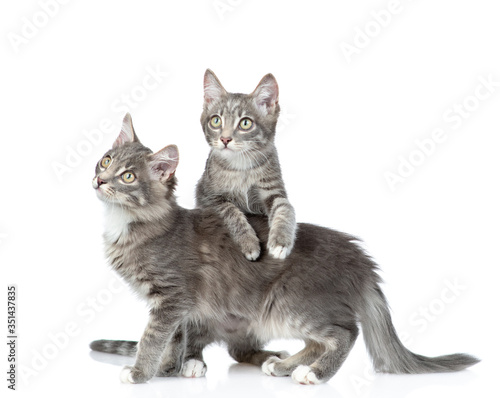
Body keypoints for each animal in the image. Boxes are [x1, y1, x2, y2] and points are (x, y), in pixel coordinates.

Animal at [89, 113, 476, 384]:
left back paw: (314, 373)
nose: (99, 180)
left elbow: (153, 337)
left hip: (289, 302)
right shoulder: (183, 307)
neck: (132, 223)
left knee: (344, 333)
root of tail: (359, 257)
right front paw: (167, 369)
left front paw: (139, 373)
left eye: (128, 176)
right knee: (280, 346)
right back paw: (280, 365)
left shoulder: (173, 297)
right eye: (106, 160)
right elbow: (174, 339)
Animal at [196, 69, 296, 262]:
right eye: (216, 121)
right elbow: (231, 211)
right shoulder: (208, 197)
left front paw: (281, 240)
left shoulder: (273, 189)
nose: (225, 139)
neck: (241, 167)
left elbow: (285, 207)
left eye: (245, 123)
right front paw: (249, 242)